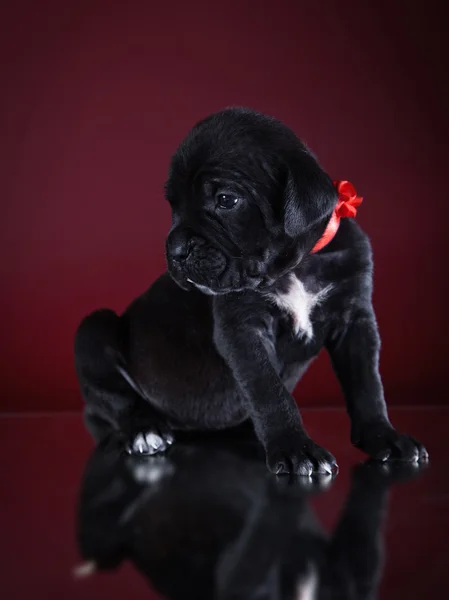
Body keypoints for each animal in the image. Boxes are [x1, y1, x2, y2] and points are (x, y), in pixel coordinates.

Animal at [74, 106, 428, 474]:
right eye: (173, 205)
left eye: (226, 200)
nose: (175, 251)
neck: (294, 267)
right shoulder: (243, 330)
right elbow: (268, 390)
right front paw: (296, 448)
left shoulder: (355, 321)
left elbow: (367, 384)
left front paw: (384, 436)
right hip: (94, 328)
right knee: (117, 399)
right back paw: (144, 430)